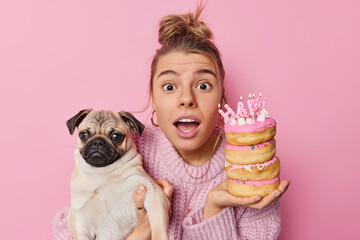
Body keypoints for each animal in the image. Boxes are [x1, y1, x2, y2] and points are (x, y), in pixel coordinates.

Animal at [65, 109, 170, 240]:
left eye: (116, 136)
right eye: (84, 135)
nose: (98, 142)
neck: (102, 173)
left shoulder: (154, 194)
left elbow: (158, 227)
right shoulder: (83, 224)